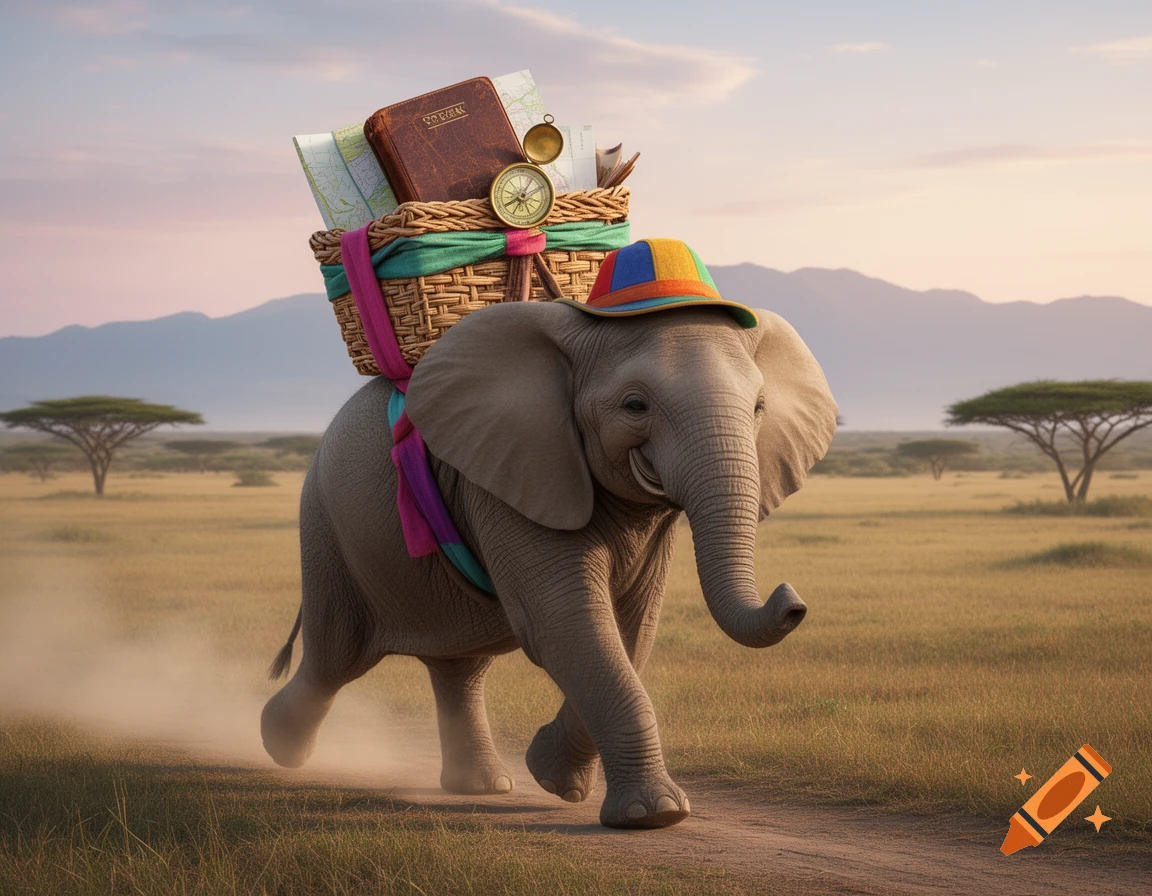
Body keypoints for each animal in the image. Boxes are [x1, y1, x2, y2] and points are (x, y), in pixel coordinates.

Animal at [261, 299, 837, 829]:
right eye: (635, 405)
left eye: (759, 407)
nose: (793, 603)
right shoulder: (511, 472)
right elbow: (566, 622)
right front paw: (655, 816)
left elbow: (631, 627)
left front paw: (555, 779)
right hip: (326, 524)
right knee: (337, 656)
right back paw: (276, 744)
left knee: (458, 666)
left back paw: (483, 787)